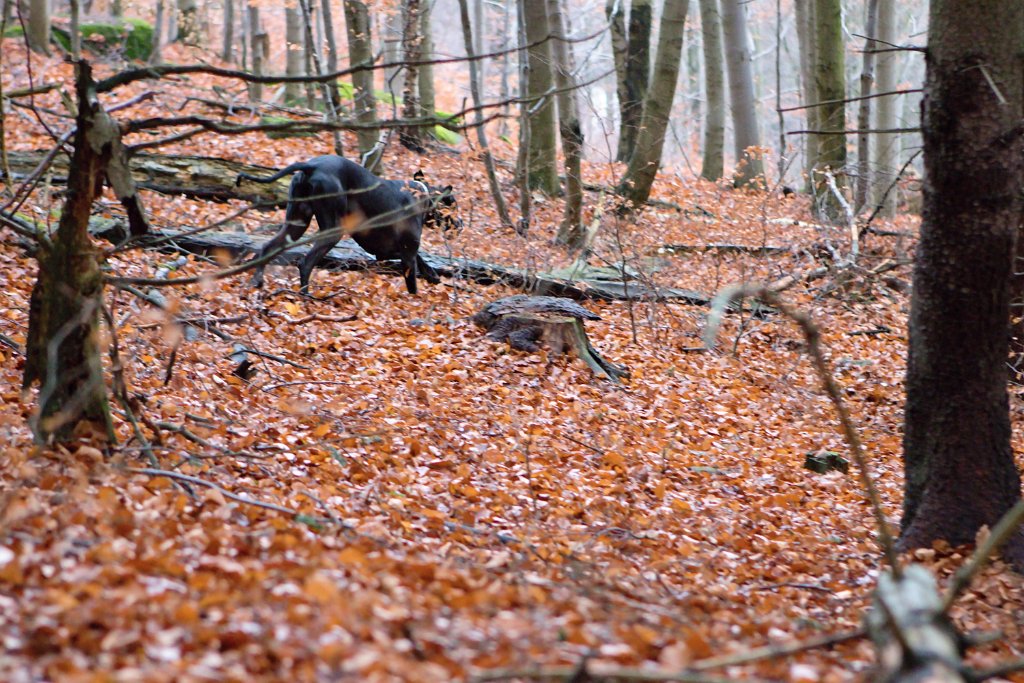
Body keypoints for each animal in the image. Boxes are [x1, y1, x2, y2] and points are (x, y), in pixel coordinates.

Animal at [235, 156, 460, 294]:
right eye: (453, 205)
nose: (461, 224)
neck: (422, 195)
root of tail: (310, 165)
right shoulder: (405, 254)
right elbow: (413, 284)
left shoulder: (383, 250)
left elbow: (419, 258)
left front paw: (432, 274)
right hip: (332, 229)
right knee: (305, 262)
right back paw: (306, 296)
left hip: (296, 224)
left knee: (268, 247)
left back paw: (256, 281)